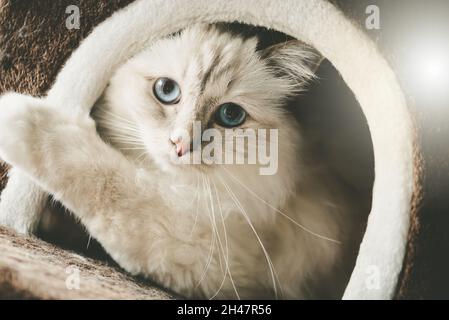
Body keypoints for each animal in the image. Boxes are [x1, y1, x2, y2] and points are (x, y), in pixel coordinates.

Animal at [0, 23, 362, 298]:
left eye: (231, 115)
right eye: (166, 90)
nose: (180, 144)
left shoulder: (207, 251)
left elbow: (106, 181)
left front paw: (17, 115)